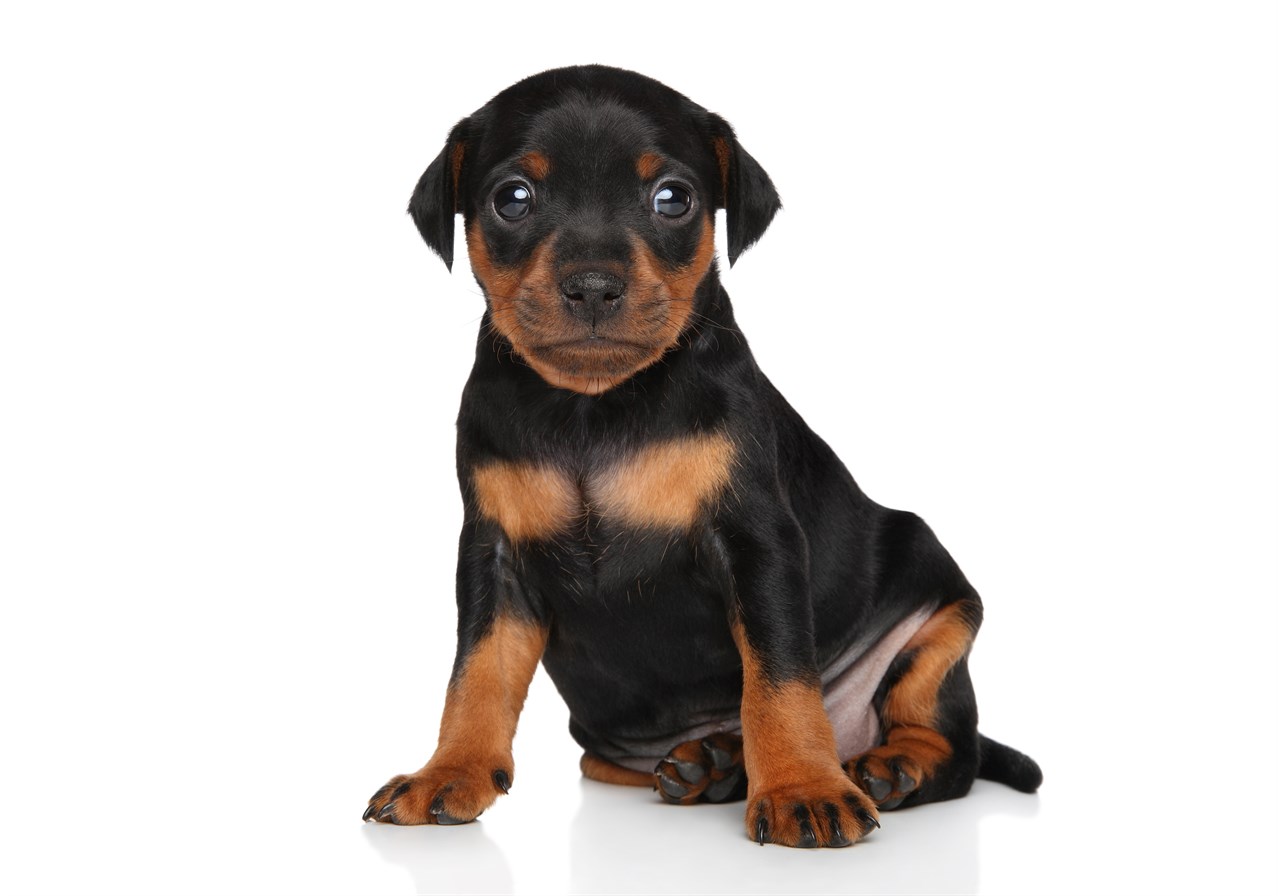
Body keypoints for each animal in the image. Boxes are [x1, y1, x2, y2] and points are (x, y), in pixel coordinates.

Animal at [365, 62, 1042, 843]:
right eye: (512, 198)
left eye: (672, 198)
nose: (592, 285)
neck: (594, 407)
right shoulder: (494, 555)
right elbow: (476, 676)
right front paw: (449, 772)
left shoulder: (758, 542)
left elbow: (779, 677)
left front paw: (803, 787)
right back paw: (714, 764)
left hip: (941, 615)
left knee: (953, 750)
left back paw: (885, 768)